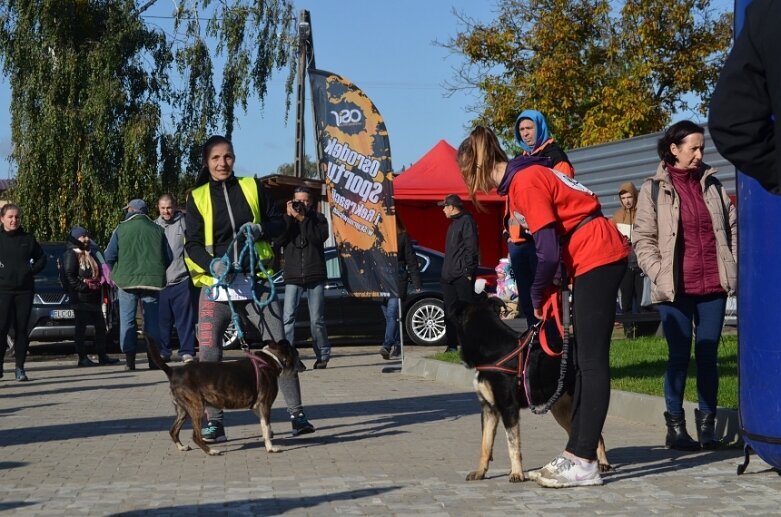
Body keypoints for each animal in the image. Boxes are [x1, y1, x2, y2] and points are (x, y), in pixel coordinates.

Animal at [146, 332, 302, 454]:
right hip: (197, 407)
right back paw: (211, 451)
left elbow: (266, 427)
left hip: (183, 409)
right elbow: (266, 427)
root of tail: (173, 371)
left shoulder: (257, 407)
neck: (270, 359)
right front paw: (270, 448)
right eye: (296, 354)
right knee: (195, 436)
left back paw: (182, 447)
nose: (304, 367)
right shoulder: (264, 405)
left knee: (173, 431)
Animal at [450, 296, 608, 482]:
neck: (493, 351)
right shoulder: (488, 409)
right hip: (561, 409)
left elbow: (513, 444)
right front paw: (480, 472)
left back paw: (602, 463)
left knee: (595, 432)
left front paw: (517, 473)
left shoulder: (508, 408)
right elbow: (485, 444)